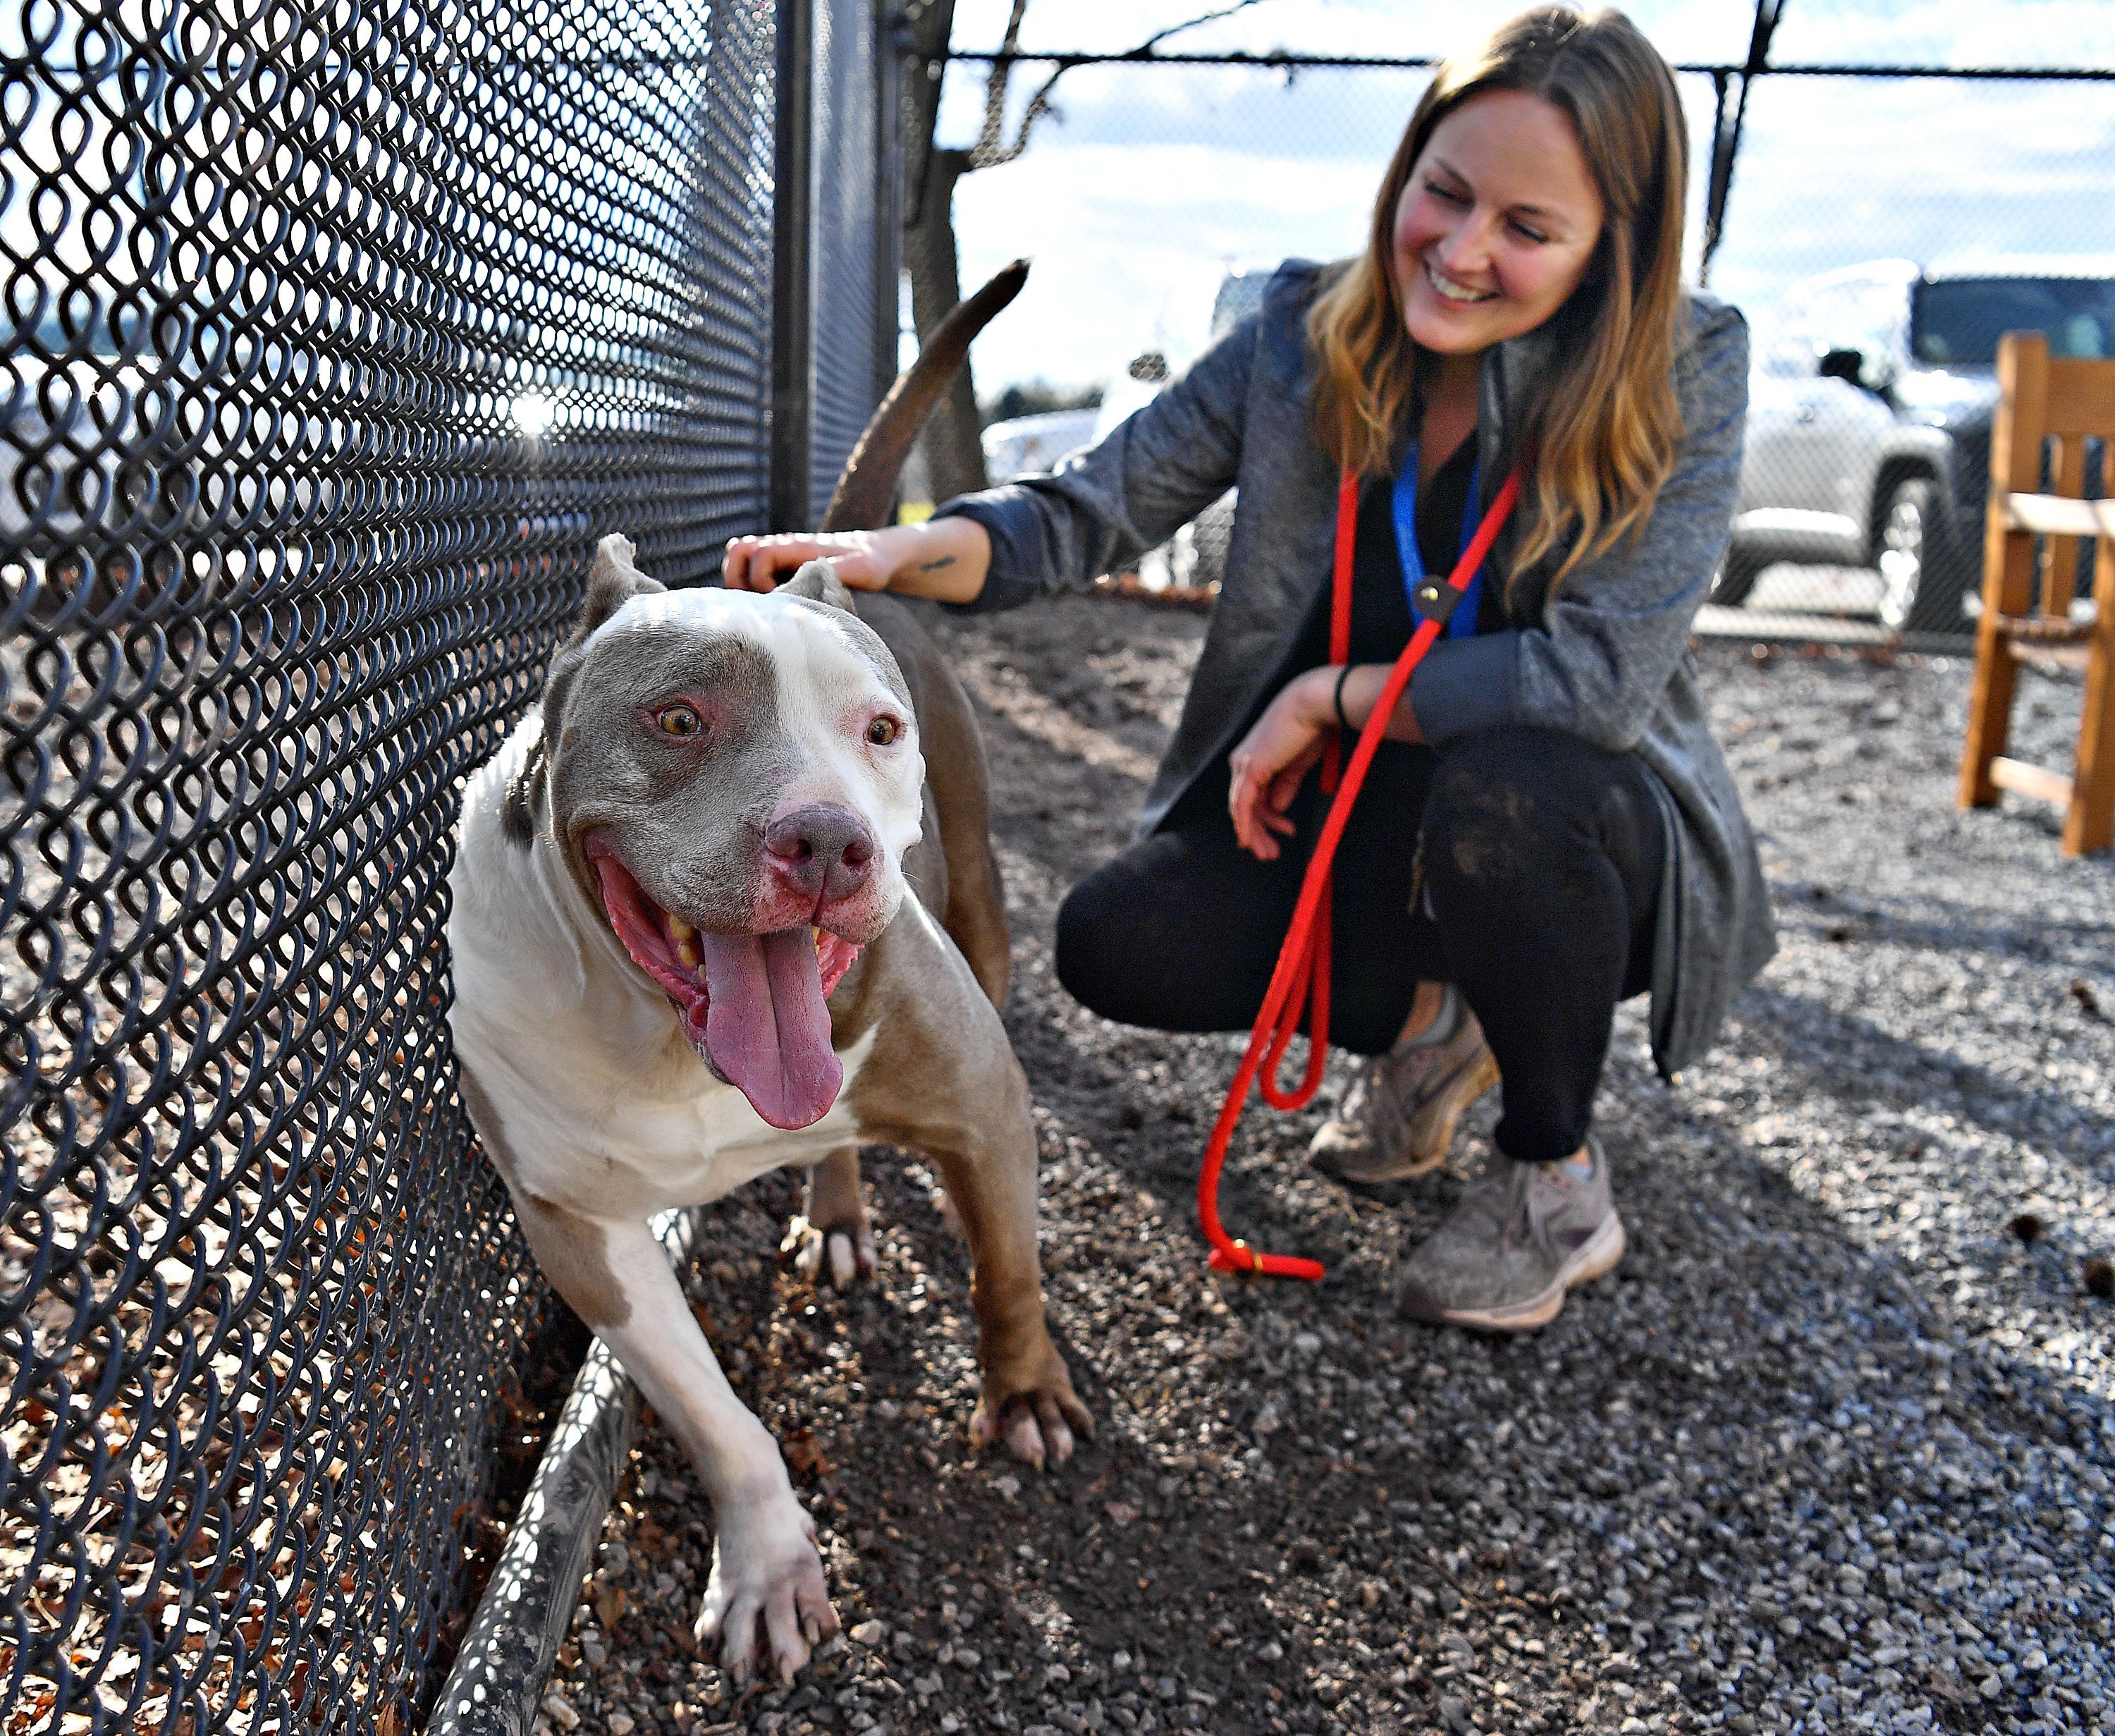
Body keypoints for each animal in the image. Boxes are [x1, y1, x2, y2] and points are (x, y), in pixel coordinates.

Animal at [438, 534, 1083, 1683]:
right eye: (678, 719)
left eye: (880, 730)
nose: (826, 841)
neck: (678, 1049)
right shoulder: (578, 1227)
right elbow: (711, 1407)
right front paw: (770, 1563)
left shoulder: (984, 1100)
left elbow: (1007, 1268)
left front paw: (1025, 1392)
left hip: (983, 899)